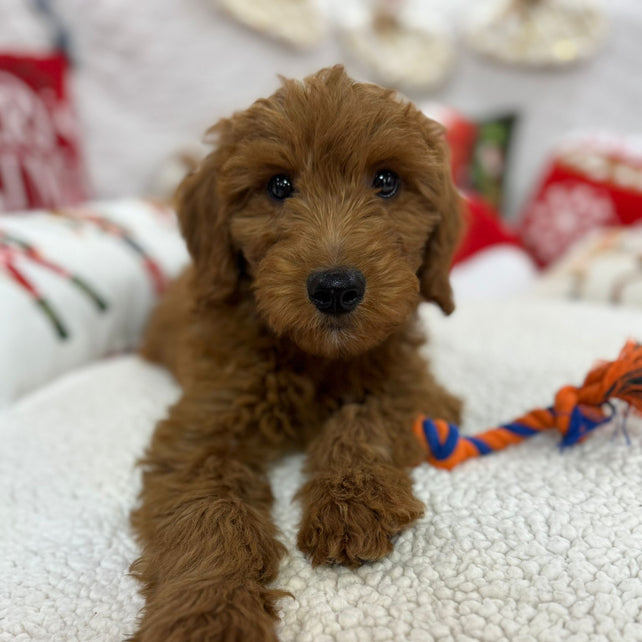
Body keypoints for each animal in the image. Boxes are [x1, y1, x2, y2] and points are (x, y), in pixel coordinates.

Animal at [130, 66, 460, 640]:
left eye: (387, 181)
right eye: (279, 186)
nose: (335, 288)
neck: (313, 355)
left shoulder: (418, 391)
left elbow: (362, 416)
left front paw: (351, 503)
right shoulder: (202, 426)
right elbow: (205, 515)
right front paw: (210, 616)